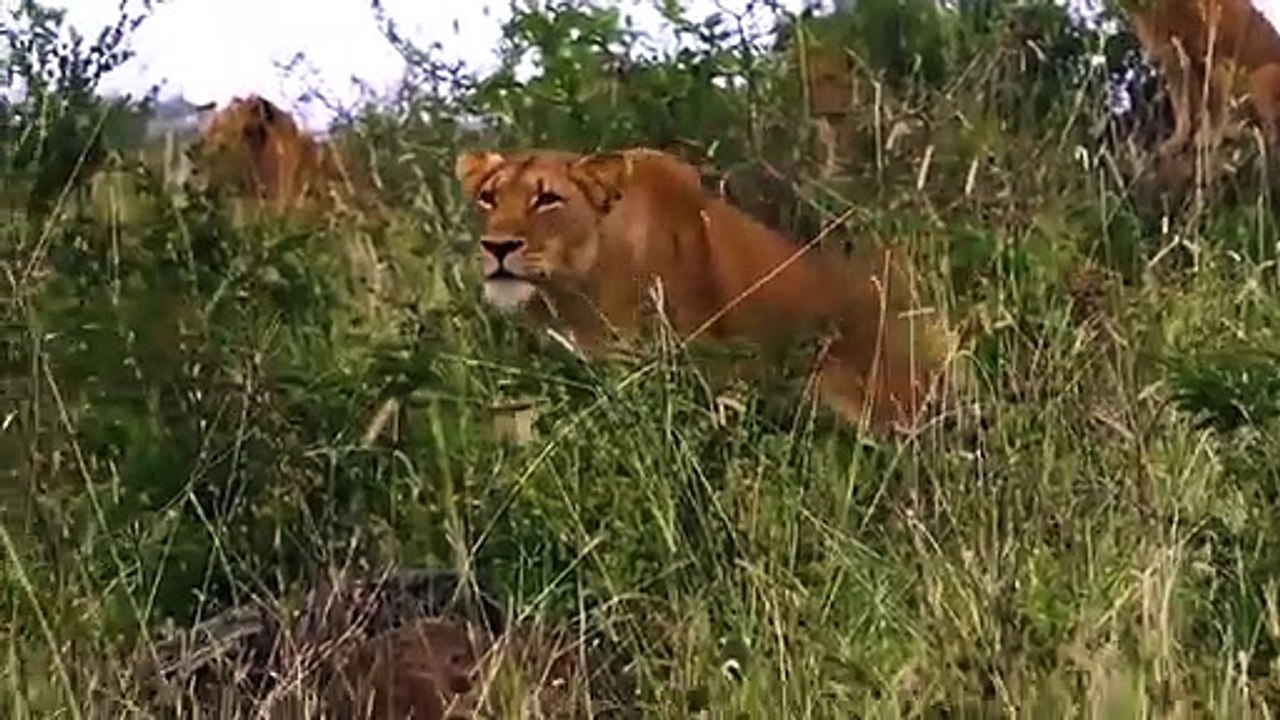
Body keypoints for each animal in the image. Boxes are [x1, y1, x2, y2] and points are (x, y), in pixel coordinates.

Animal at [1124, 0, 1280, 155]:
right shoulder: (1175, 63)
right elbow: (1181, 107)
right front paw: (1175, 143)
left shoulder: (1213, 59)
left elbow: (1213, 105)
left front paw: (1212, 137)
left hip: (1262, 77)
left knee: (1269, 133)